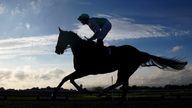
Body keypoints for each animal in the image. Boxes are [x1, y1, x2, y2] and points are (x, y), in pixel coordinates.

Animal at [51, 27, 188, 101]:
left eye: (60, 38)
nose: (57, 50)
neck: (83, 50)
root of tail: (139, 52)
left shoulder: (85, 71)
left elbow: (67, 79)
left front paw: (54, 95)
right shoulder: (82, 71)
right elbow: (68, 79)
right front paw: (82, 90)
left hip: (126, 68)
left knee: (120, 83)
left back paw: (102, 93)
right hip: (126, 69)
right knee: (123, 85)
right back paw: (116, 100)